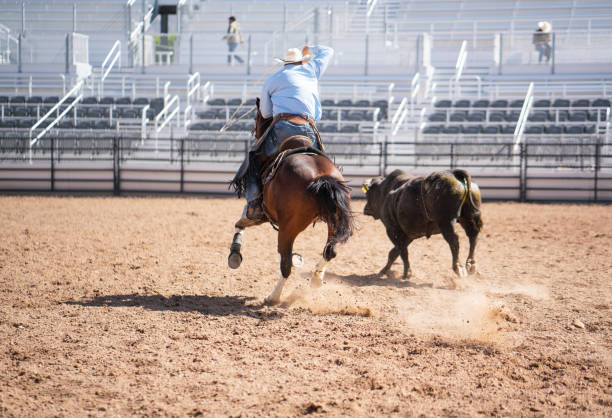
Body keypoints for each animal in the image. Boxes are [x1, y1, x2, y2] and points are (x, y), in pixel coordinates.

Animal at [228, 136, 354, 304]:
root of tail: (320, 177)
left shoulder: (261, 214)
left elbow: (241, 222)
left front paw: (234, 253)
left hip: (287, 228)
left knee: (286, 262)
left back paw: (273, 296)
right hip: (333, 221)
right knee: (329, 252)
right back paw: (315, 280)